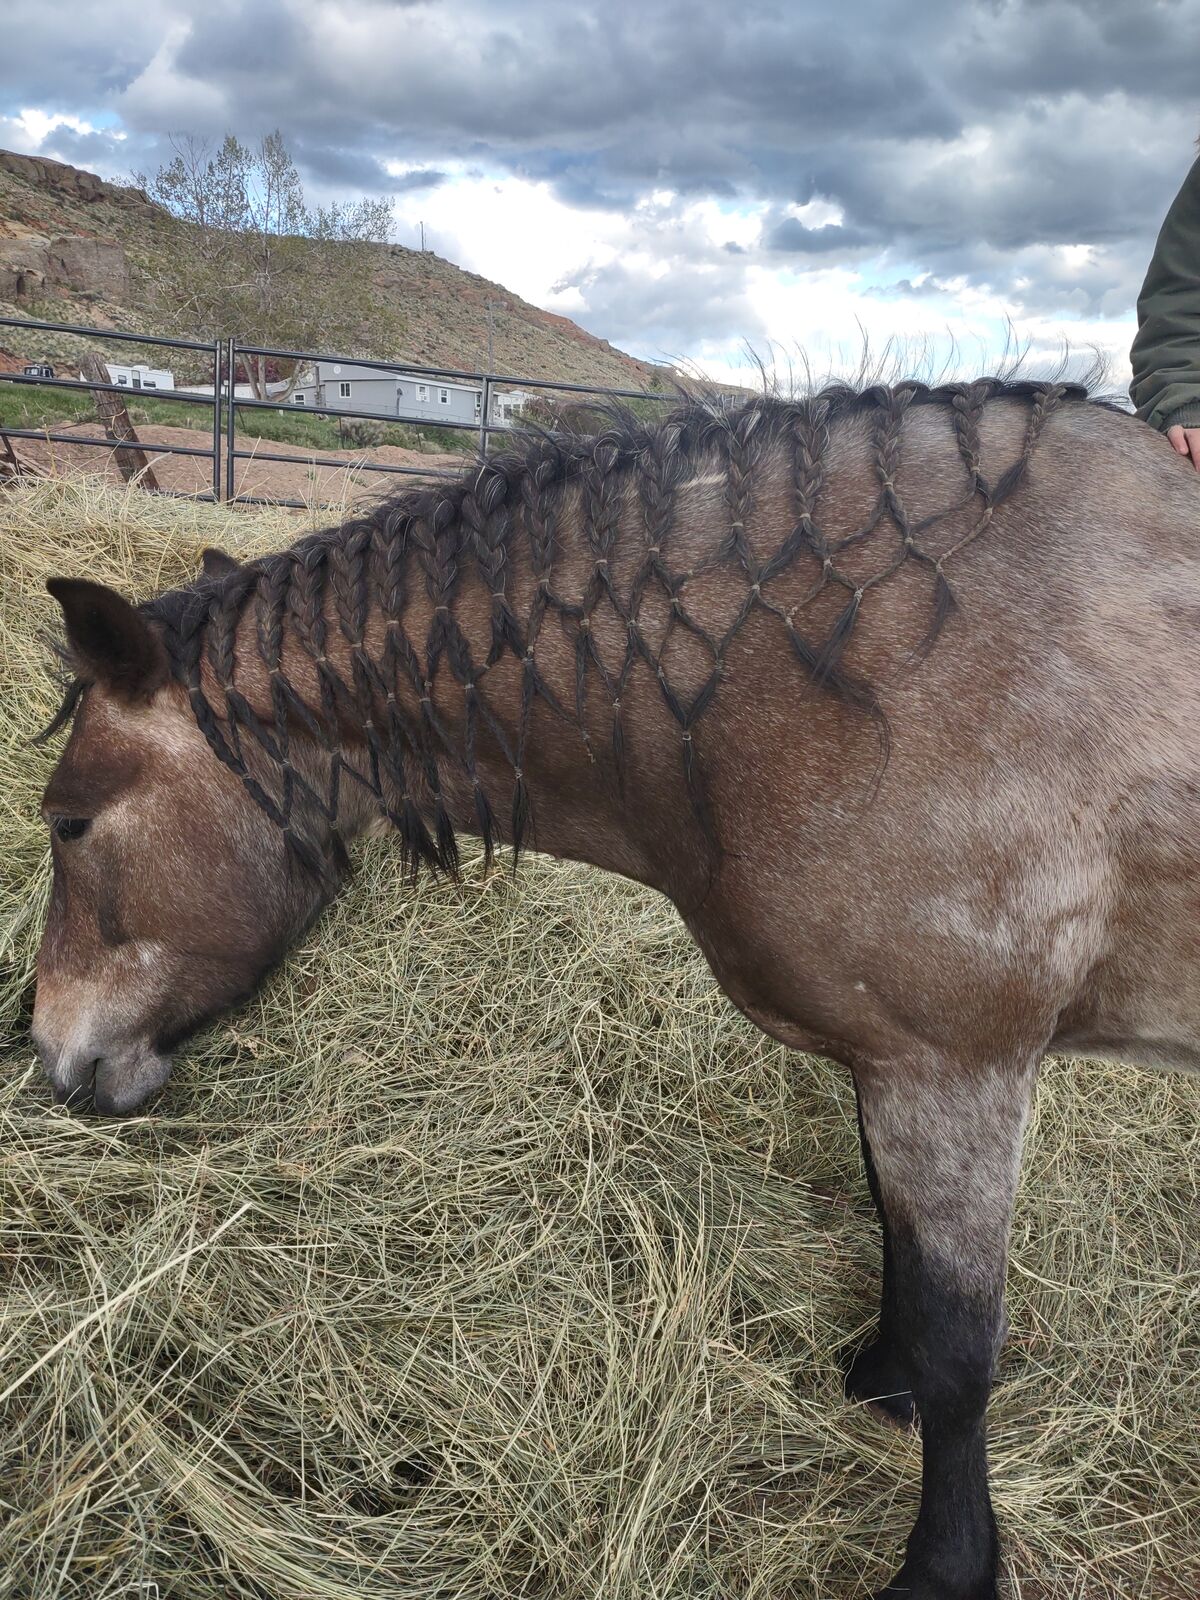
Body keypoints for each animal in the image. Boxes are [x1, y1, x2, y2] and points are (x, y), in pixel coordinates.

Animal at [29, 378, 1200, 1599]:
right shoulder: (894, 1061)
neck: (856, 678)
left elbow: (963, 1346)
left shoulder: (956, 1066)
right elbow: (899, 1243)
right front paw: (884, 1382)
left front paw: (947, 1565)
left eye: (71, 822)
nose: (49, 1046)